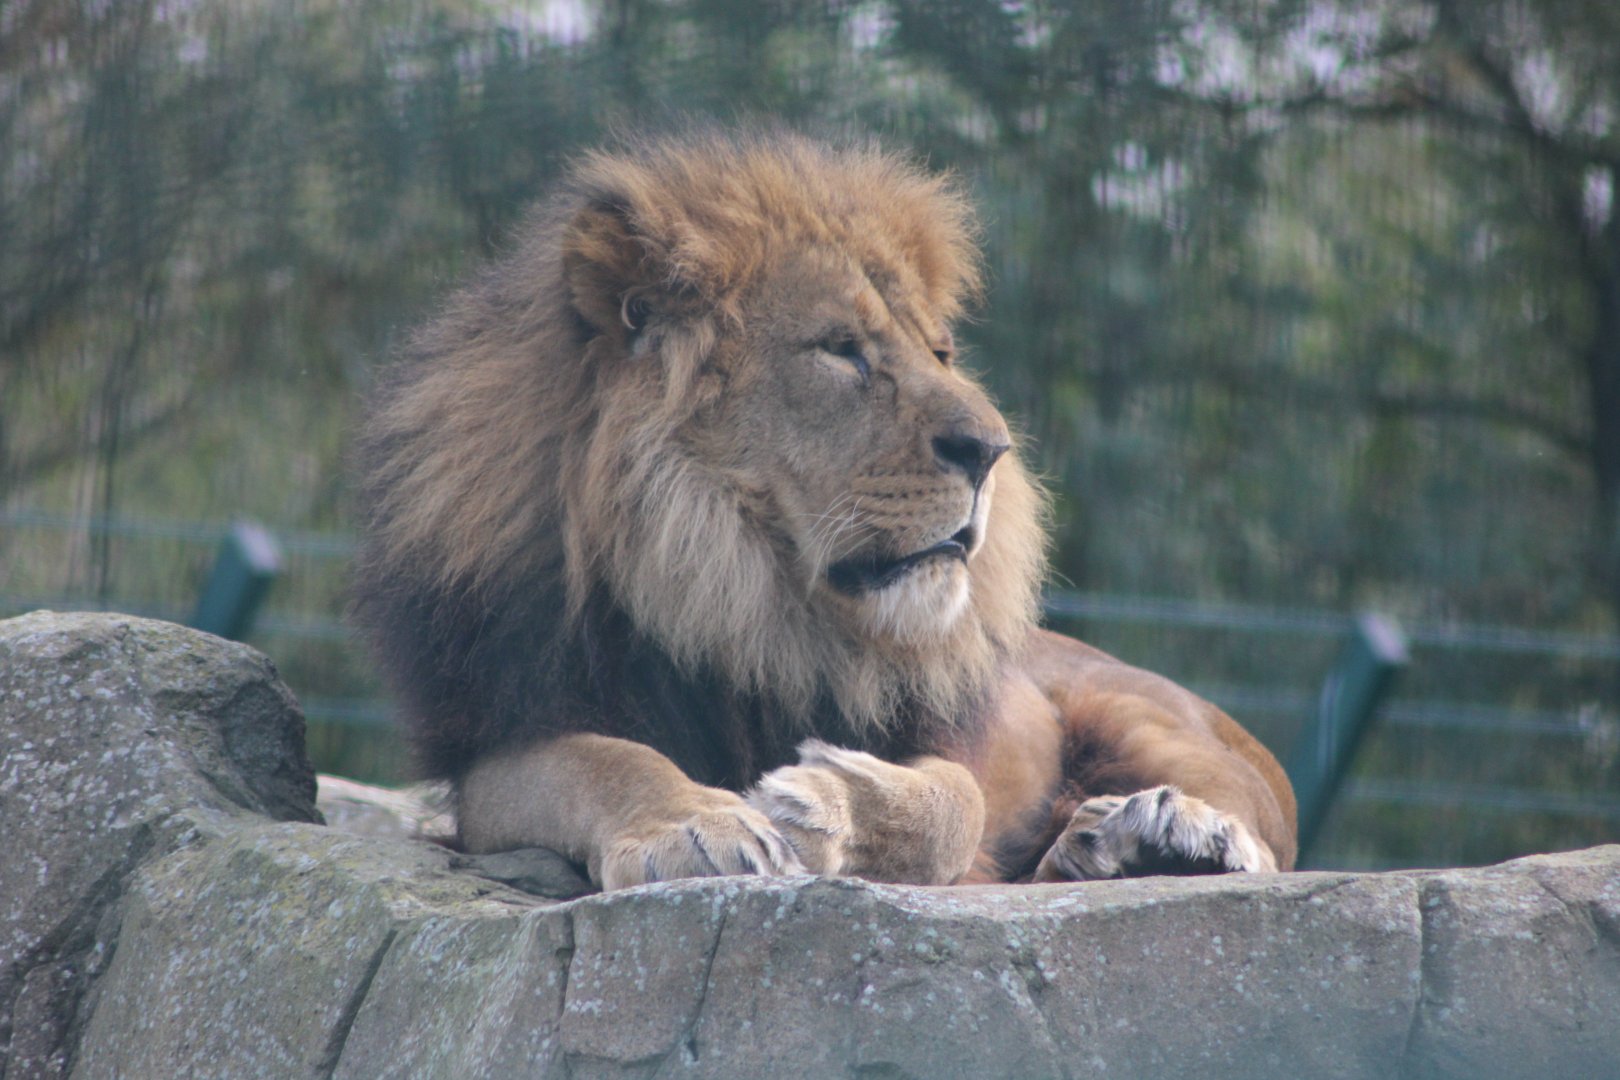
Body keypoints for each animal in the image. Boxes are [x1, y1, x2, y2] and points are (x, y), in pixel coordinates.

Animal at [353, 129, 1296, 891]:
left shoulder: (964, 737)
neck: (746, 602)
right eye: (841, 351)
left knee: (1255, 825)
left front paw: (825, 803)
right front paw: (695, 825)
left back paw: (1165, 835)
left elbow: (957, 799)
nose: (991, 450)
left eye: (940, 353)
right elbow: (606, 762)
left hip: (1147, 718)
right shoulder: (503, 742)